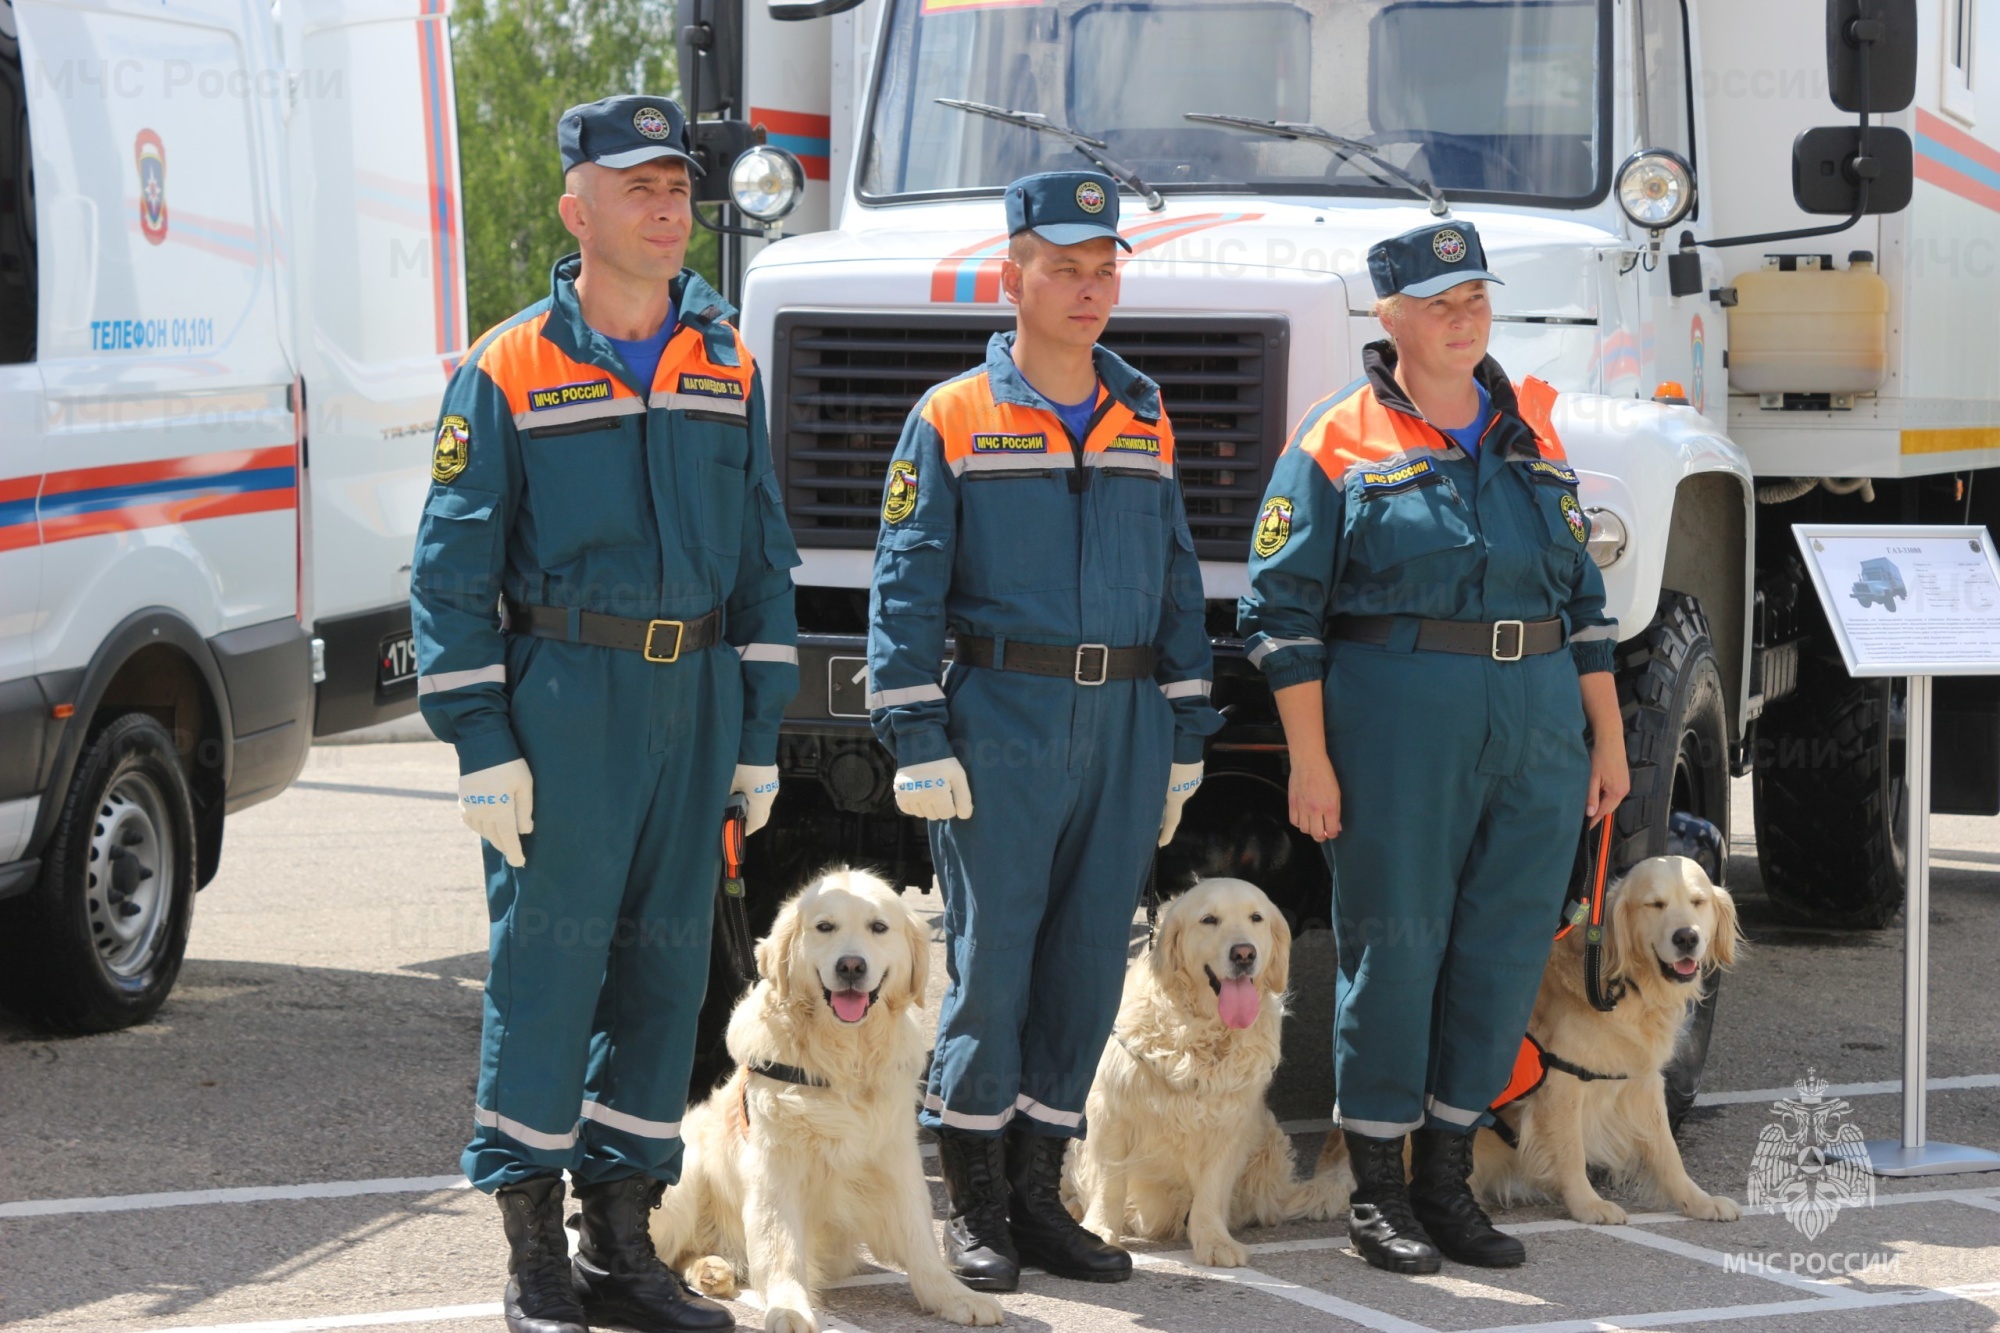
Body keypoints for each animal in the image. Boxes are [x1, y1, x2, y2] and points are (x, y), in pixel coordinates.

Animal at [652, 868, 1008, 1328]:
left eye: (878, 927)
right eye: (824, 927)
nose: (851, 965)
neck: (843, 1060)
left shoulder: (895, 1156)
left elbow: (919, 1238)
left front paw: (953, 1295)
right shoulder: (775, 1165)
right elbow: (781, 1245)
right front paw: (788, 1308)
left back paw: (713, 1269)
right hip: (685, 1176)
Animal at [1064, 876, 1344, 1264]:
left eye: (1256, 917)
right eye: (1209, 920)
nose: (1244, 954)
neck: (1202, 1034)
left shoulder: (1230, 1121)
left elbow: (1211, 1190)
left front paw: (1214, 1241)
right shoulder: (1110, 1111)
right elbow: (1109, 1181)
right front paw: (1100, 1232)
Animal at [1464, 852, 1744, 1224]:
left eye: (1698, 902)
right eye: (1655, 904)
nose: (1686, 937)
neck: (1621, 987)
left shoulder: (1643, 1080)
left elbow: (1667, 1150)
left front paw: (1697, 1200)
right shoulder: (1561, 1083)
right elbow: (1571, 1152)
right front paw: (1587, 1204)